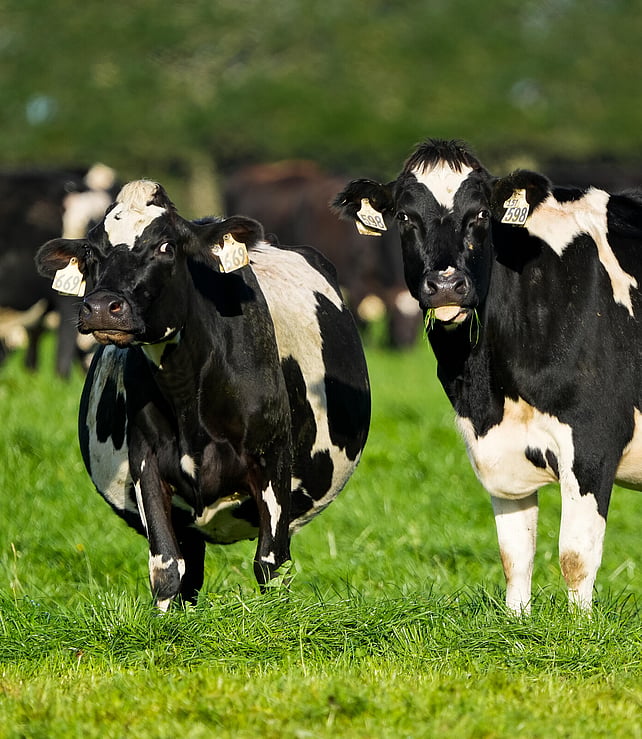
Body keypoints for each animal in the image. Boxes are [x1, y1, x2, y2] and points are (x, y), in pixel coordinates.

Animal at [36, 179, 370, 610]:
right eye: (92, 251)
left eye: (166, 246)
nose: (101, 307)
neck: (187, 395)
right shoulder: (146, 460)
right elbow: (167, 567)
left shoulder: (273, 457)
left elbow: (271, 562)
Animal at [333, 138, 642, 613]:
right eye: (405, 217)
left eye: (479, 214)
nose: (446, 285)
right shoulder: (496, 448)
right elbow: (514, 554)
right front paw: (518, 620)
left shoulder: (594, 438)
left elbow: (575, 556)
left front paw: (580, 626)